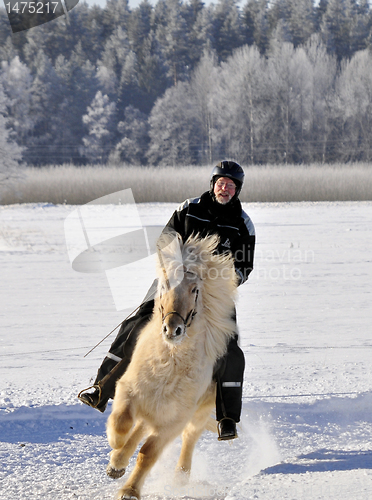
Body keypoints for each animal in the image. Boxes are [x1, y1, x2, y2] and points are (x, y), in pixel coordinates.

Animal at [106, 232, 237, 500]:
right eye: (165, 284)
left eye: (195, 289)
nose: (172, 329)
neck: (167, 364)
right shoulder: (128, 390)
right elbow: (122, 421)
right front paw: (115, 449)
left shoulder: (175, 419)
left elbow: (148, 453)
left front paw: (129, 492)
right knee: (140, 426)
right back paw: (117, 462)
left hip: (198, 412)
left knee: (188, 438)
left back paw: (180, 477)